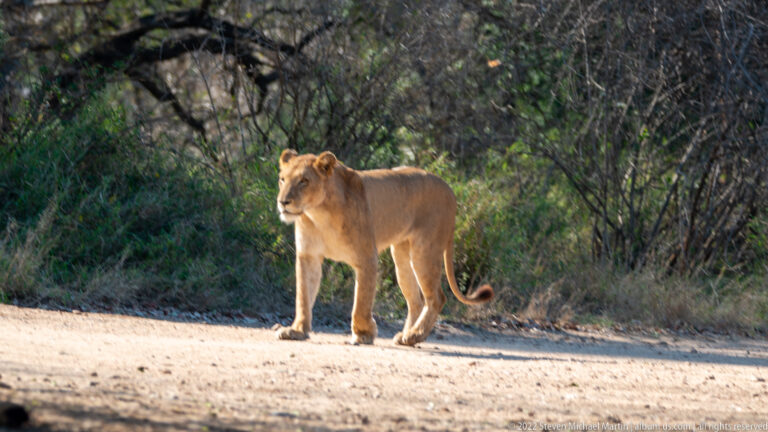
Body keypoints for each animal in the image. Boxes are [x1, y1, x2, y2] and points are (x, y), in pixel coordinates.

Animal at [274, 149, 493, 346]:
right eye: (282, 179)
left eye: (304, 181)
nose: (283, 202)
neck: (318, 214)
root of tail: (449, 189)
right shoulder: (308, 256)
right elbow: (303, 296)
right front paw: (297, 330)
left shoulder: (367, 257)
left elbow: (361, 302)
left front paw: (363, 334)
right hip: (401, 256)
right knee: (416, 301)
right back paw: (407, 335)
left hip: (425, 250)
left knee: (437, 298)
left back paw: (414, 336)